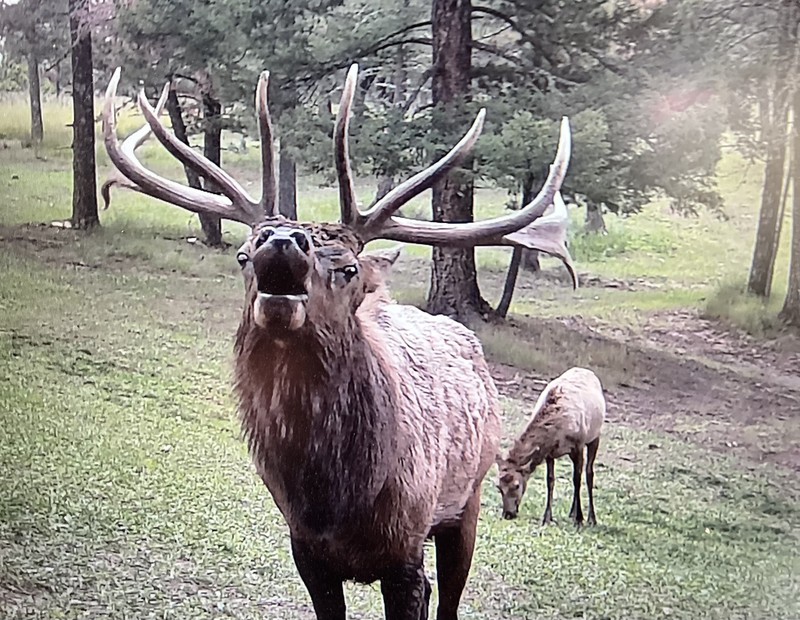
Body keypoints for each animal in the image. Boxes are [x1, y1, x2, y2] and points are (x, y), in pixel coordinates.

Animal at [101, 64, 573, 620]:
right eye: (242, 255)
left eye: (347, 269)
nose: (283, 241)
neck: (336, 498)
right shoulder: (306, 550)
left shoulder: (407, 550)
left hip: (469, 499)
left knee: (451, 596)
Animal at [496, 367, 606, 526]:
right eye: (499, 487)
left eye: (517, 485)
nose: (508, 514)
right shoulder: (549, 453)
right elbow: (550, 481)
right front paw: (547, 517)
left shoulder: (578, 445)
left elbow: (577, 479)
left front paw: (579, 519)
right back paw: (571, 513)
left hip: (594, 437)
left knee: (589, 473)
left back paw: (591, 518)